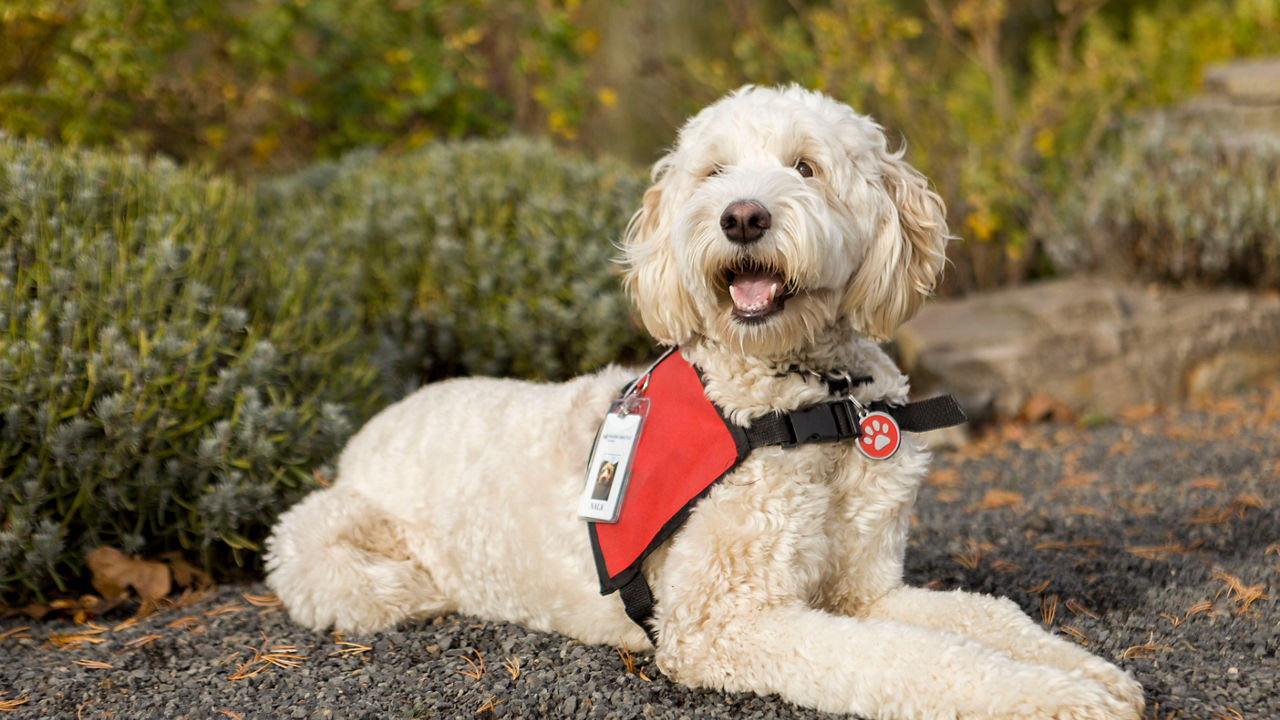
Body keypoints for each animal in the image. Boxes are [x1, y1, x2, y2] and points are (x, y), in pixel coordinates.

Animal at [264, 85, 1146, 717]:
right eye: (714, 172)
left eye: (805, 166)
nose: (742, 217)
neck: (805, 403)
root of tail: (368, 432)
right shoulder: (723, 622)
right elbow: (916, 662)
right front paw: (1054, 699)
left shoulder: (866, 590)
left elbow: (985, 619)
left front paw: (1087, 671)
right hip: (327, 556)